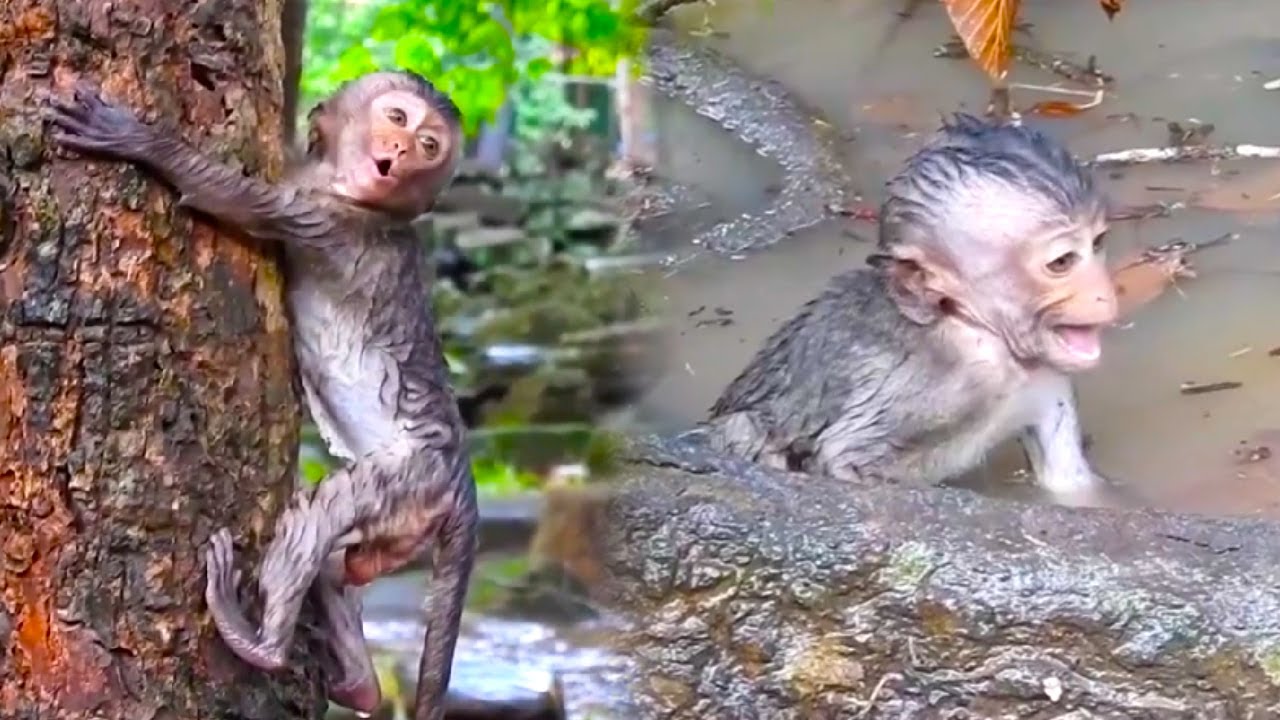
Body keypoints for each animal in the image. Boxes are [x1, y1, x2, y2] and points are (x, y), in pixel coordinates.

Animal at [47, 72, 478, 720]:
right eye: (399, 119)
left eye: (429, 146)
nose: (401, 153)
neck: (350, 195)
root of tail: (463, 484)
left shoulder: (324, 219)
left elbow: (230, 198)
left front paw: (139, 141)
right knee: (336, 563)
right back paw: (358, 681)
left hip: (413, 476)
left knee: (318, 516)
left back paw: (260, 645)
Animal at [703, 114, 1119, 507]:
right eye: (1062, 262)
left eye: (1097, 243)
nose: (1105, 295)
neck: (971, 325)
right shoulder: (944, 382)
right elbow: (843, 457)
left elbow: (1069, 482)